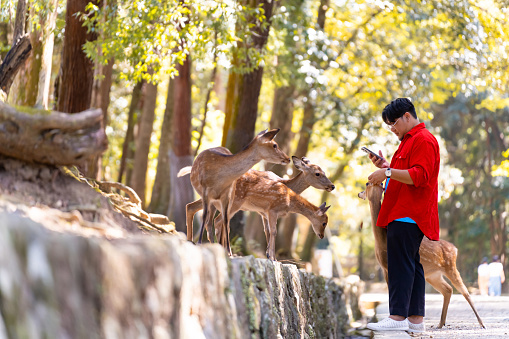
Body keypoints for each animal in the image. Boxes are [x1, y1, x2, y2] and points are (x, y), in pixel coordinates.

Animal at [182, 155, 334, 246]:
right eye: (317, 173)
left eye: (324, 172)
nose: (332, 186)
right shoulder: (266, 210)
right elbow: (269, 230)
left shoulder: (263, 211)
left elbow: (266, 230)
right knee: (204, 215)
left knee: (195, 210)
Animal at [358, 183, 484, 330]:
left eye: (366, 185)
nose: (359, 193)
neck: (382, 241)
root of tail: (455, 249)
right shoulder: (385, 268)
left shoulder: (388, 266)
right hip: (433, 274)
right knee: (448, 289)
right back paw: (440, 324)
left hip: (450, 267)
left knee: (465, 291)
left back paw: (481, 323)